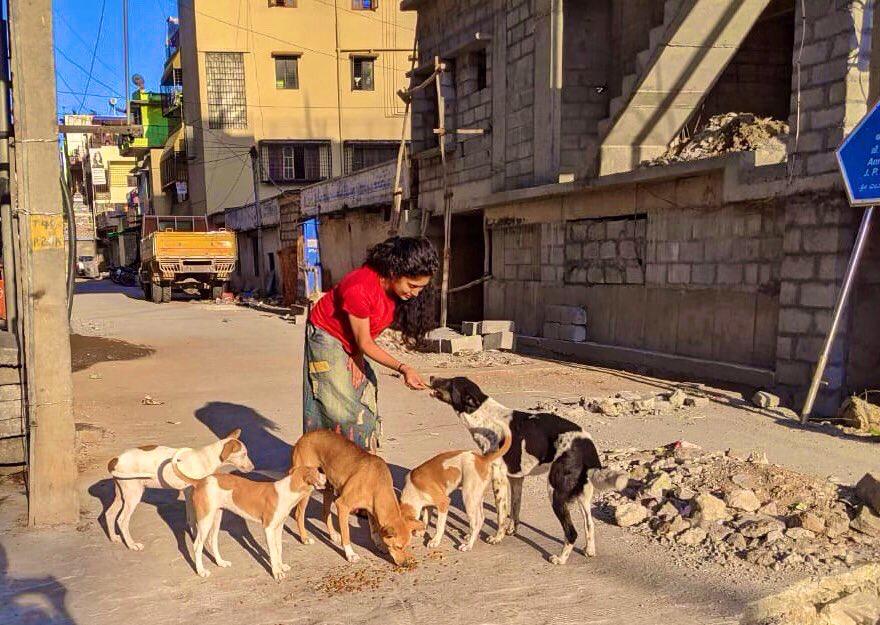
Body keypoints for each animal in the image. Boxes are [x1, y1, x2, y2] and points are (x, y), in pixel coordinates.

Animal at [105, 428, 254, 552]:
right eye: (244, 454)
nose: (253, 467)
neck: (206, 458)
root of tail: (115, 459)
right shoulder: (193, 493)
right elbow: (194, 519)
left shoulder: (188, 493)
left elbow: (190, 518)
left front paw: (194, 534)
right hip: (133, 495)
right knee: (122, 520)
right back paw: (132, 544)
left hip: (121, 494)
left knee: (109, 514)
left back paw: (113, 537)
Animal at [170, 448, 324, 580]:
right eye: (318, 472)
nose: (326, 475)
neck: (288, 489)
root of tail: (201, 481)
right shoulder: (268, 528)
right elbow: (273, 552)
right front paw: (276, 572)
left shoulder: (278, 527)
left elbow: (279, 549)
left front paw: (281, 566)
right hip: (205, 520)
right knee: (197, 545)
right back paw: (201, 571)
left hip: (216, 517)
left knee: (212, 541)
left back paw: (221, 562)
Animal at [290, 432, 424, 564]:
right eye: (398, 547)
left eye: (407, 546)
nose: (405, 564)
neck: (377, 481)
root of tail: (304, 436)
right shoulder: (342, 505)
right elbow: (346, 534)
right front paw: (350, 554)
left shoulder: (371, 509)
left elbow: (375, 530)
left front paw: (379, 544)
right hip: (307, 486)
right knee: (299, 514)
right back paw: (305, 538)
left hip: (328, 486)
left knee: (325, 512)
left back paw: (332, 535)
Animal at [400, 420, 512, 552]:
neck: (413, 489)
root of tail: (482, 459)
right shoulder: (429, 506)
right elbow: (425, 519)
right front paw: (422, 531)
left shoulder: (443, 503)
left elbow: (439, 526)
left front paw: (435, 541)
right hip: (476, 497)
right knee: (481, 518)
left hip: (468, 497)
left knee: (475, 523)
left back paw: (468, 545)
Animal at [430, 376, 628, 564]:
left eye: (449, 383)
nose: (431, 377)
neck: (484, 417)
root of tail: (586, 443)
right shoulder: (516, 479)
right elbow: (514, 509)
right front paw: (511, 530)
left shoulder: (499, 478)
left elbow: (501, 513)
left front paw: (497, 537)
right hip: (583, 495)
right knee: (589, 524)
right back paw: (589, 550)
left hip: (555, 492)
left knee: (571, 532)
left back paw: (560, 559)